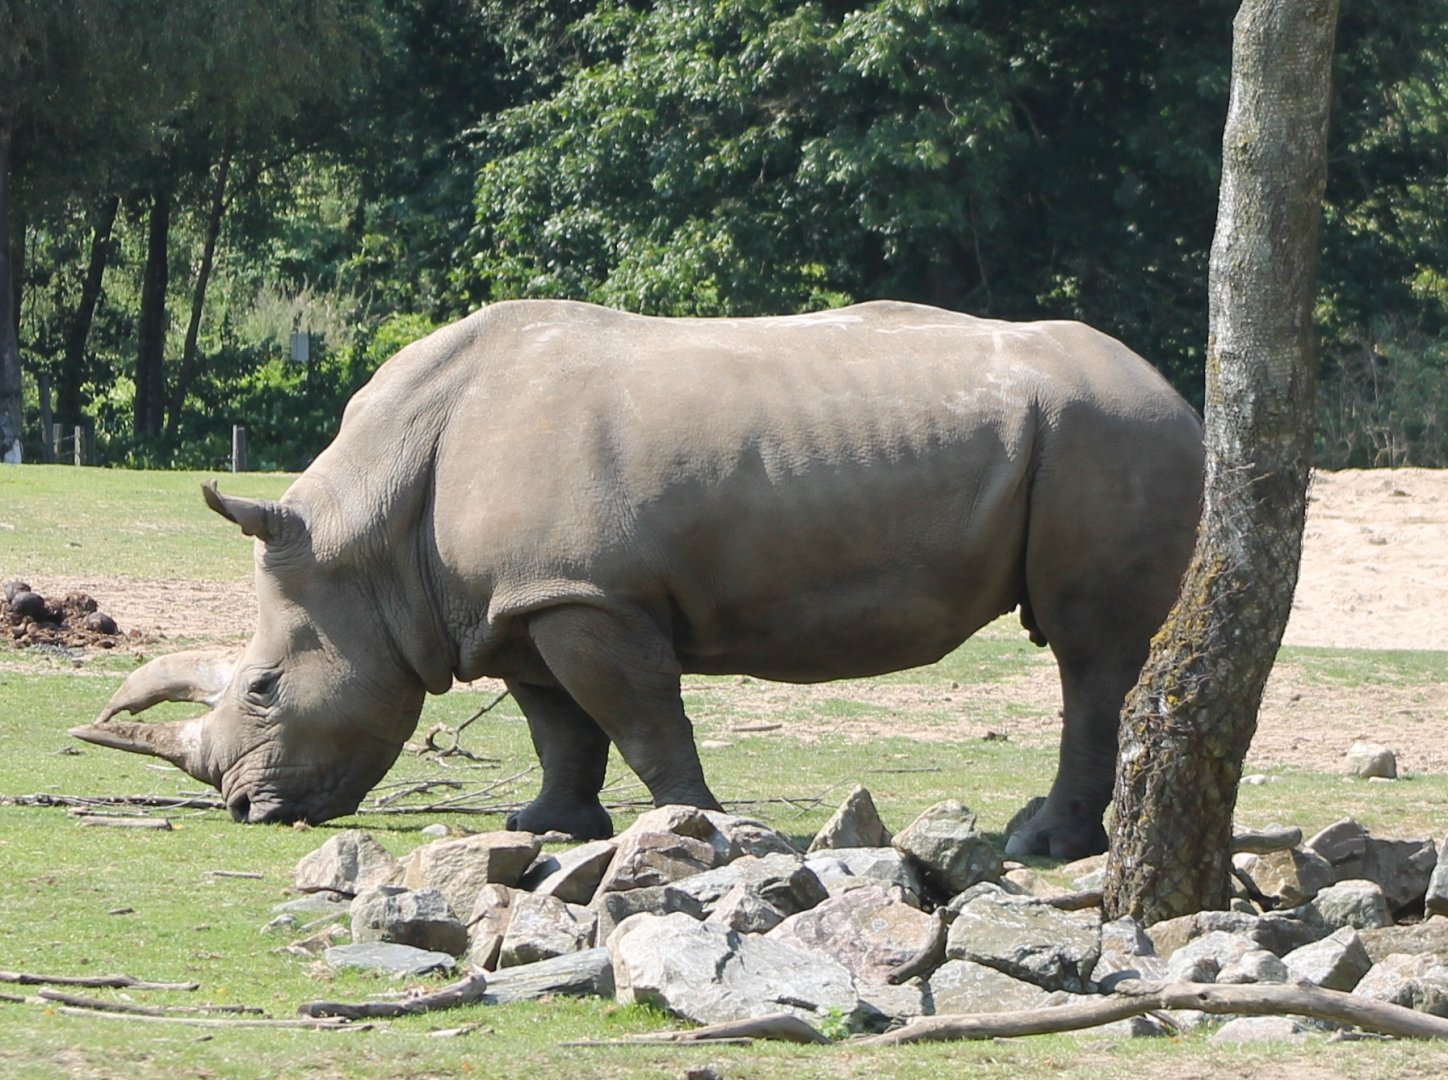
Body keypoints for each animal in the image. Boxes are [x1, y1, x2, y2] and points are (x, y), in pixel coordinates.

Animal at [72, 299, 1203, 858]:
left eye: (265, 690)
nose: (247, 812)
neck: (368, 534)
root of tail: (1174, 388)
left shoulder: (586, 594)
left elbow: (643, 717)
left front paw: (696, 828)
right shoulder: (515, 601)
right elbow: (558, 726)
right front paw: (546, 829)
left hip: (1111, 432)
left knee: (1090, 650)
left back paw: (1040, 845)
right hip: (1101, 431)